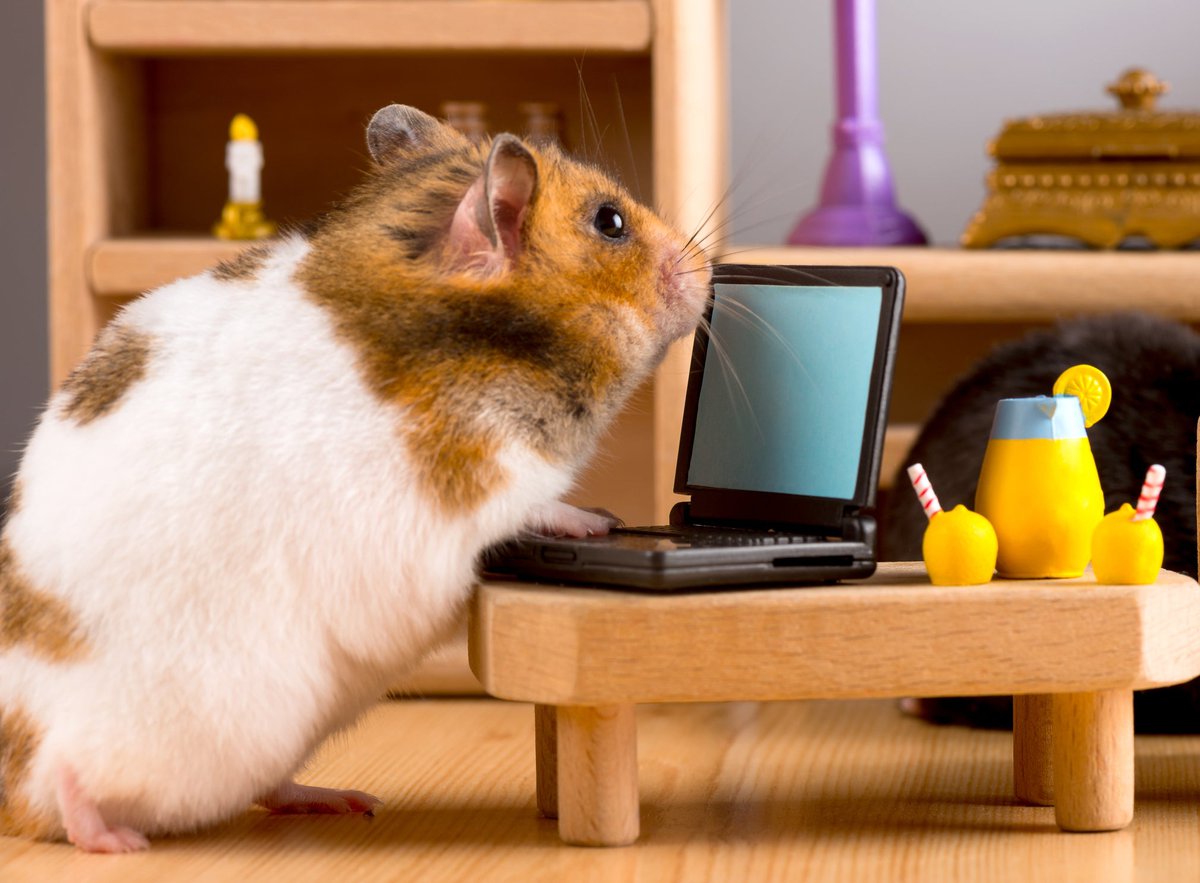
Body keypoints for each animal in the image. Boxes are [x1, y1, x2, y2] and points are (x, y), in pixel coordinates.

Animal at [0, 103, 710, 849]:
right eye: (610, 222)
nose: (708, 270)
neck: (478, 344)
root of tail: (15, 790)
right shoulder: (482, 482)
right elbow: (537, 507)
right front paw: (599, 519)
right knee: (68, 782)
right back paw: (112, 837)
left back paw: (342, 800)